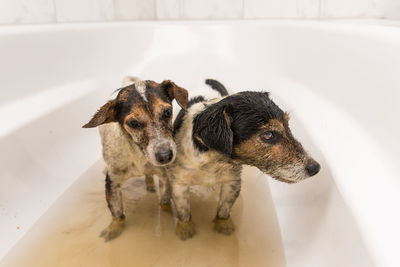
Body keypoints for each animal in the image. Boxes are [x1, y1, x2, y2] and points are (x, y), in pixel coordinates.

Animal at [83, 76, 189, 242]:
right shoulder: (112, 182)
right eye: (133, 123)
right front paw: (114, 229)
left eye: (167, 112)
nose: (165, 156)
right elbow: (117, 214)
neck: (138, 154)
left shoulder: (165, 177)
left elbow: (164, 202)